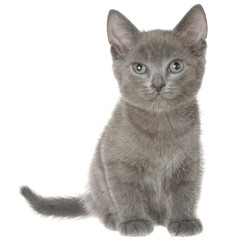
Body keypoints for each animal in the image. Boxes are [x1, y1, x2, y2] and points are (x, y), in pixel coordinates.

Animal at [21, 4, 207, 237]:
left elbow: (186, 190)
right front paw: (134, 222)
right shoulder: (115, 160)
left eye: (176, 66)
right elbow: (126, 192)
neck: (160, 124)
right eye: (139, 68)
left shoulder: (190, 161)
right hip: (96, 178)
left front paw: (183, 220)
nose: (157, 85)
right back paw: (114, 219)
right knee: (101, 205)